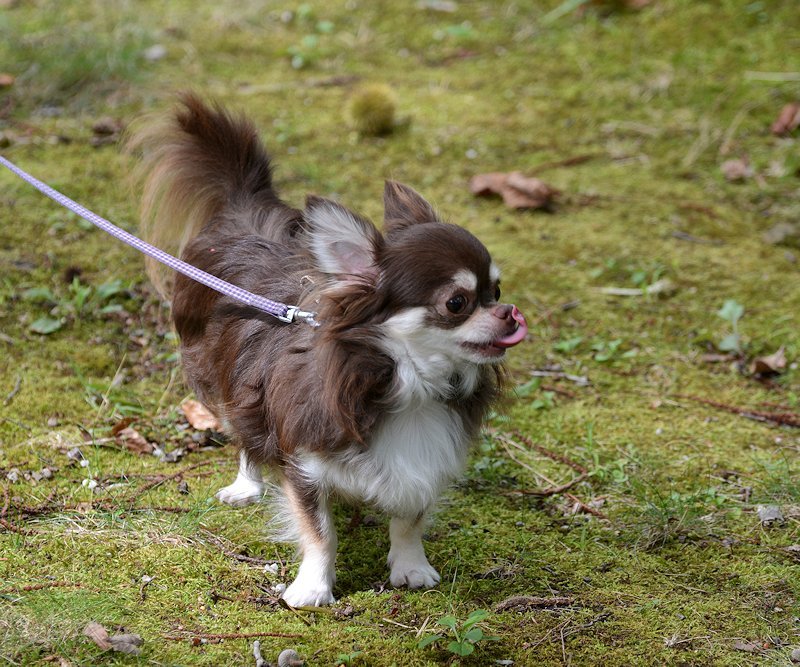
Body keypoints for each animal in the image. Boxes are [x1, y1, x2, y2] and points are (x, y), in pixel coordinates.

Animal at [134, 95, 528, 612]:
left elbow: (409, 518)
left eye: (496, 290)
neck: (407, 386)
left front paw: (411, 567)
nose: (510, 313)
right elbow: (320, 532)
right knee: (246, 437)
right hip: (230, 381)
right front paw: (313, 588)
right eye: (457, 303)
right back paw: (246, 486)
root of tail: (242, 207)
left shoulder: (426, 455)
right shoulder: (304, 459)